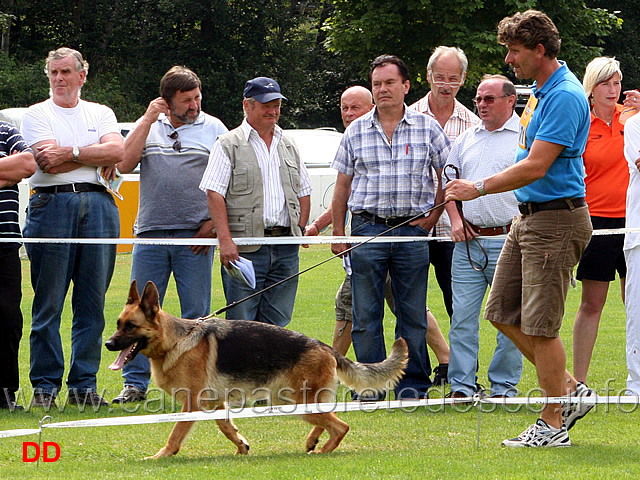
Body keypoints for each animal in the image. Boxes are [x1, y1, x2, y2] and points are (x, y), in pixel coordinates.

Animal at [103, 282, 408, 458]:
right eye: (118, 324)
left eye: (130, 326)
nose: (108, 344)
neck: (175, 340)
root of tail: (324, 346)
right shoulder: (215, 404)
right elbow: (227, 427)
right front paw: (241, 446)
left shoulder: (191, 404)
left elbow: (175, 434)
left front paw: (162, 456)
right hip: (297, 401)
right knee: (328, 421)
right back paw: (313, 441)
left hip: (297, 402)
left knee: (341, 425)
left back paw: (324, 450)